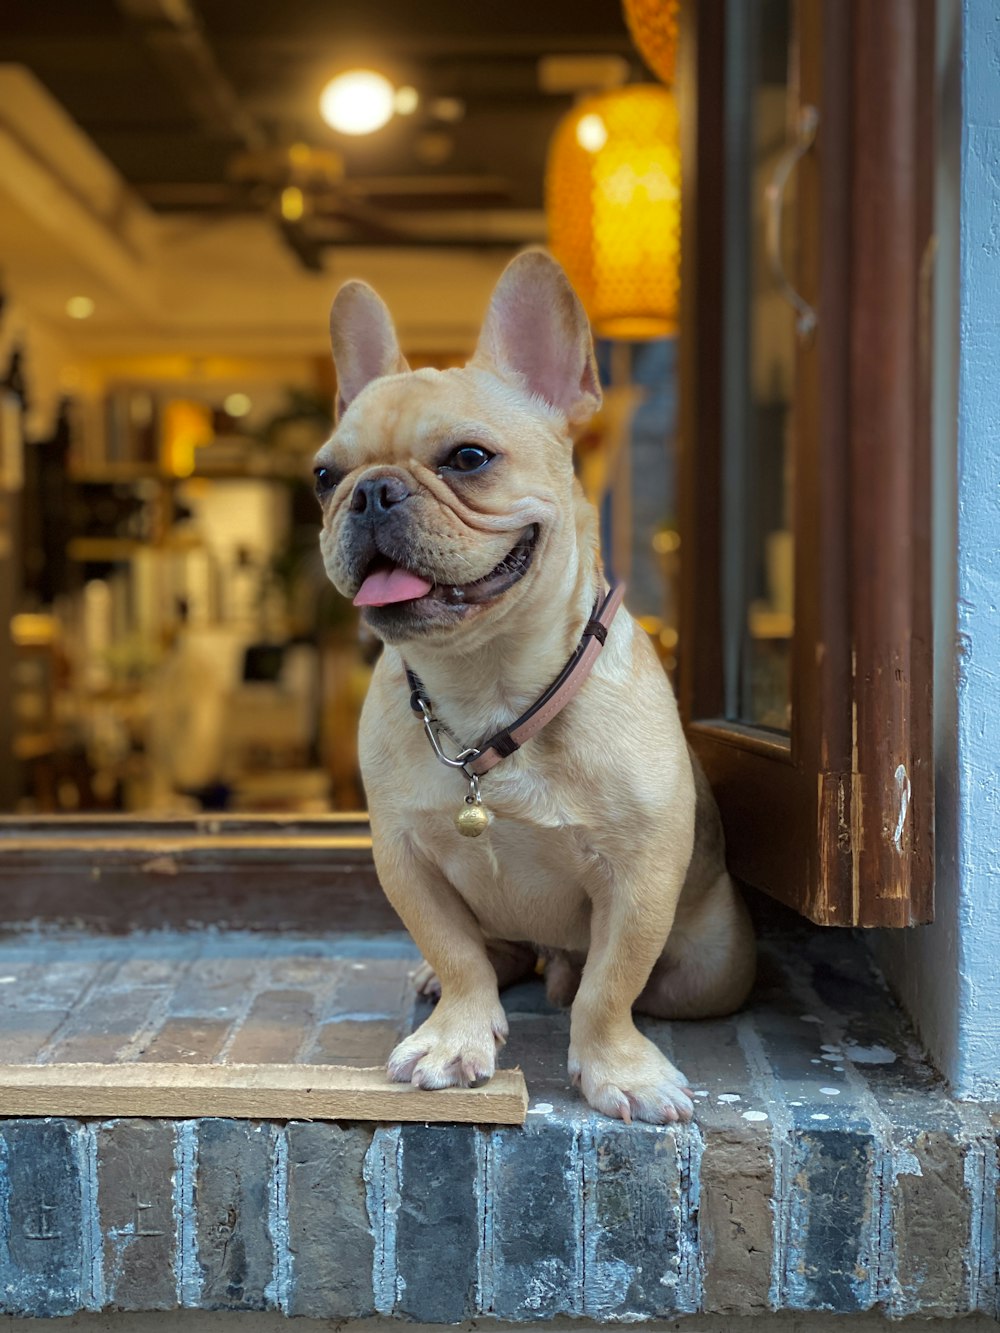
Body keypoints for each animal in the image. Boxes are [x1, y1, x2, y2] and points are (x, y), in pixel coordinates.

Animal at [317, 251, 757, 1125]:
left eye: (468, 458)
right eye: (324, 476)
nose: (371, 490)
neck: (487, 688)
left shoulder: (641, 873)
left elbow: (612, 984)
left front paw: (619, 1067)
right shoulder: (404, 856)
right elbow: (455, 951)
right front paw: (457, 1034)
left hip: (715, 971)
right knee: (492, 952)